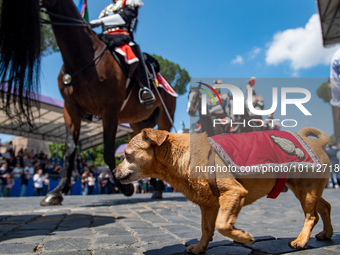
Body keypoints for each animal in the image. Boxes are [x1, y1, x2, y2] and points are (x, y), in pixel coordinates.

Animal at [0, 0, 175, 205]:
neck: (82, 58)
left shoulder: (110, 111)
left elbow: (108, 152)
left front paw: (125, 187)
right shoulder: (70, 110)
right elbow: (69, 151)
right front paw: (57, 192)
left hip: (165, 118)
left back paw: (158, 189)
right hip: (136, 122)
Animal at [115, 128, 334, 254]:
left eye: (126, 155)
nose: (114, 171)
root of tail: (317, 142)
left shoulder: (233, 193)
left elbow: (221, 224)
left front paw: (244, 237)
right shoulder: (207, 205)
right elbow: (206, 229)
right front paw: (200, 248)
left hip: (306, 190)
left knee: (311, 216)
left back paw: (300, 240)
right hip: (304, 189)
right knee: (325, 207)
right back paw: (327, 233)